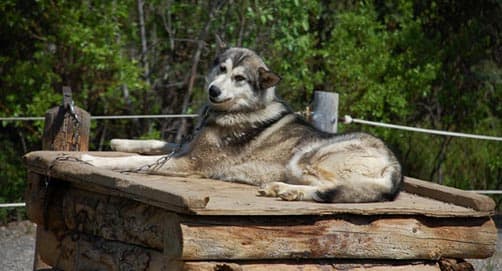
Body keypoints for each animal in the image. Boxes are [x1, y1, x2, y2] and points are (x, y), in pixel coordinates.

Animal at [83, 47, 404, 204]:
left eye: (239, 78)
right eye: (221, 69)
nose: (213, 90)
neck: (233, 110)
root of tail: (395, 166)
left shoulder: (189, 163)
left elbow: (135, 160)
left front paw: (93, 160)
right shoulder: (187, 146)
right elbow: (154, 144)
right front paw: (119, 143)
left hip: (304, 160)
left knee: (328, 188)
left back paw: (283, 190)